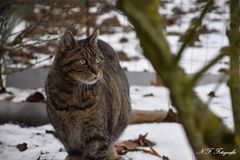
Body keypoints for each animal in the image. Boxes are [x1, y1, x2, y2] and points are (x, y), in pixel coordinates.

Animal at [45, 29, 131, 159]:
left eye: (98, 60)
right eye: (82, 61)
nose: (97, 72)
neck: (71, 95)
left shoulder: (97, 136)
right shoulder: (69, 140)